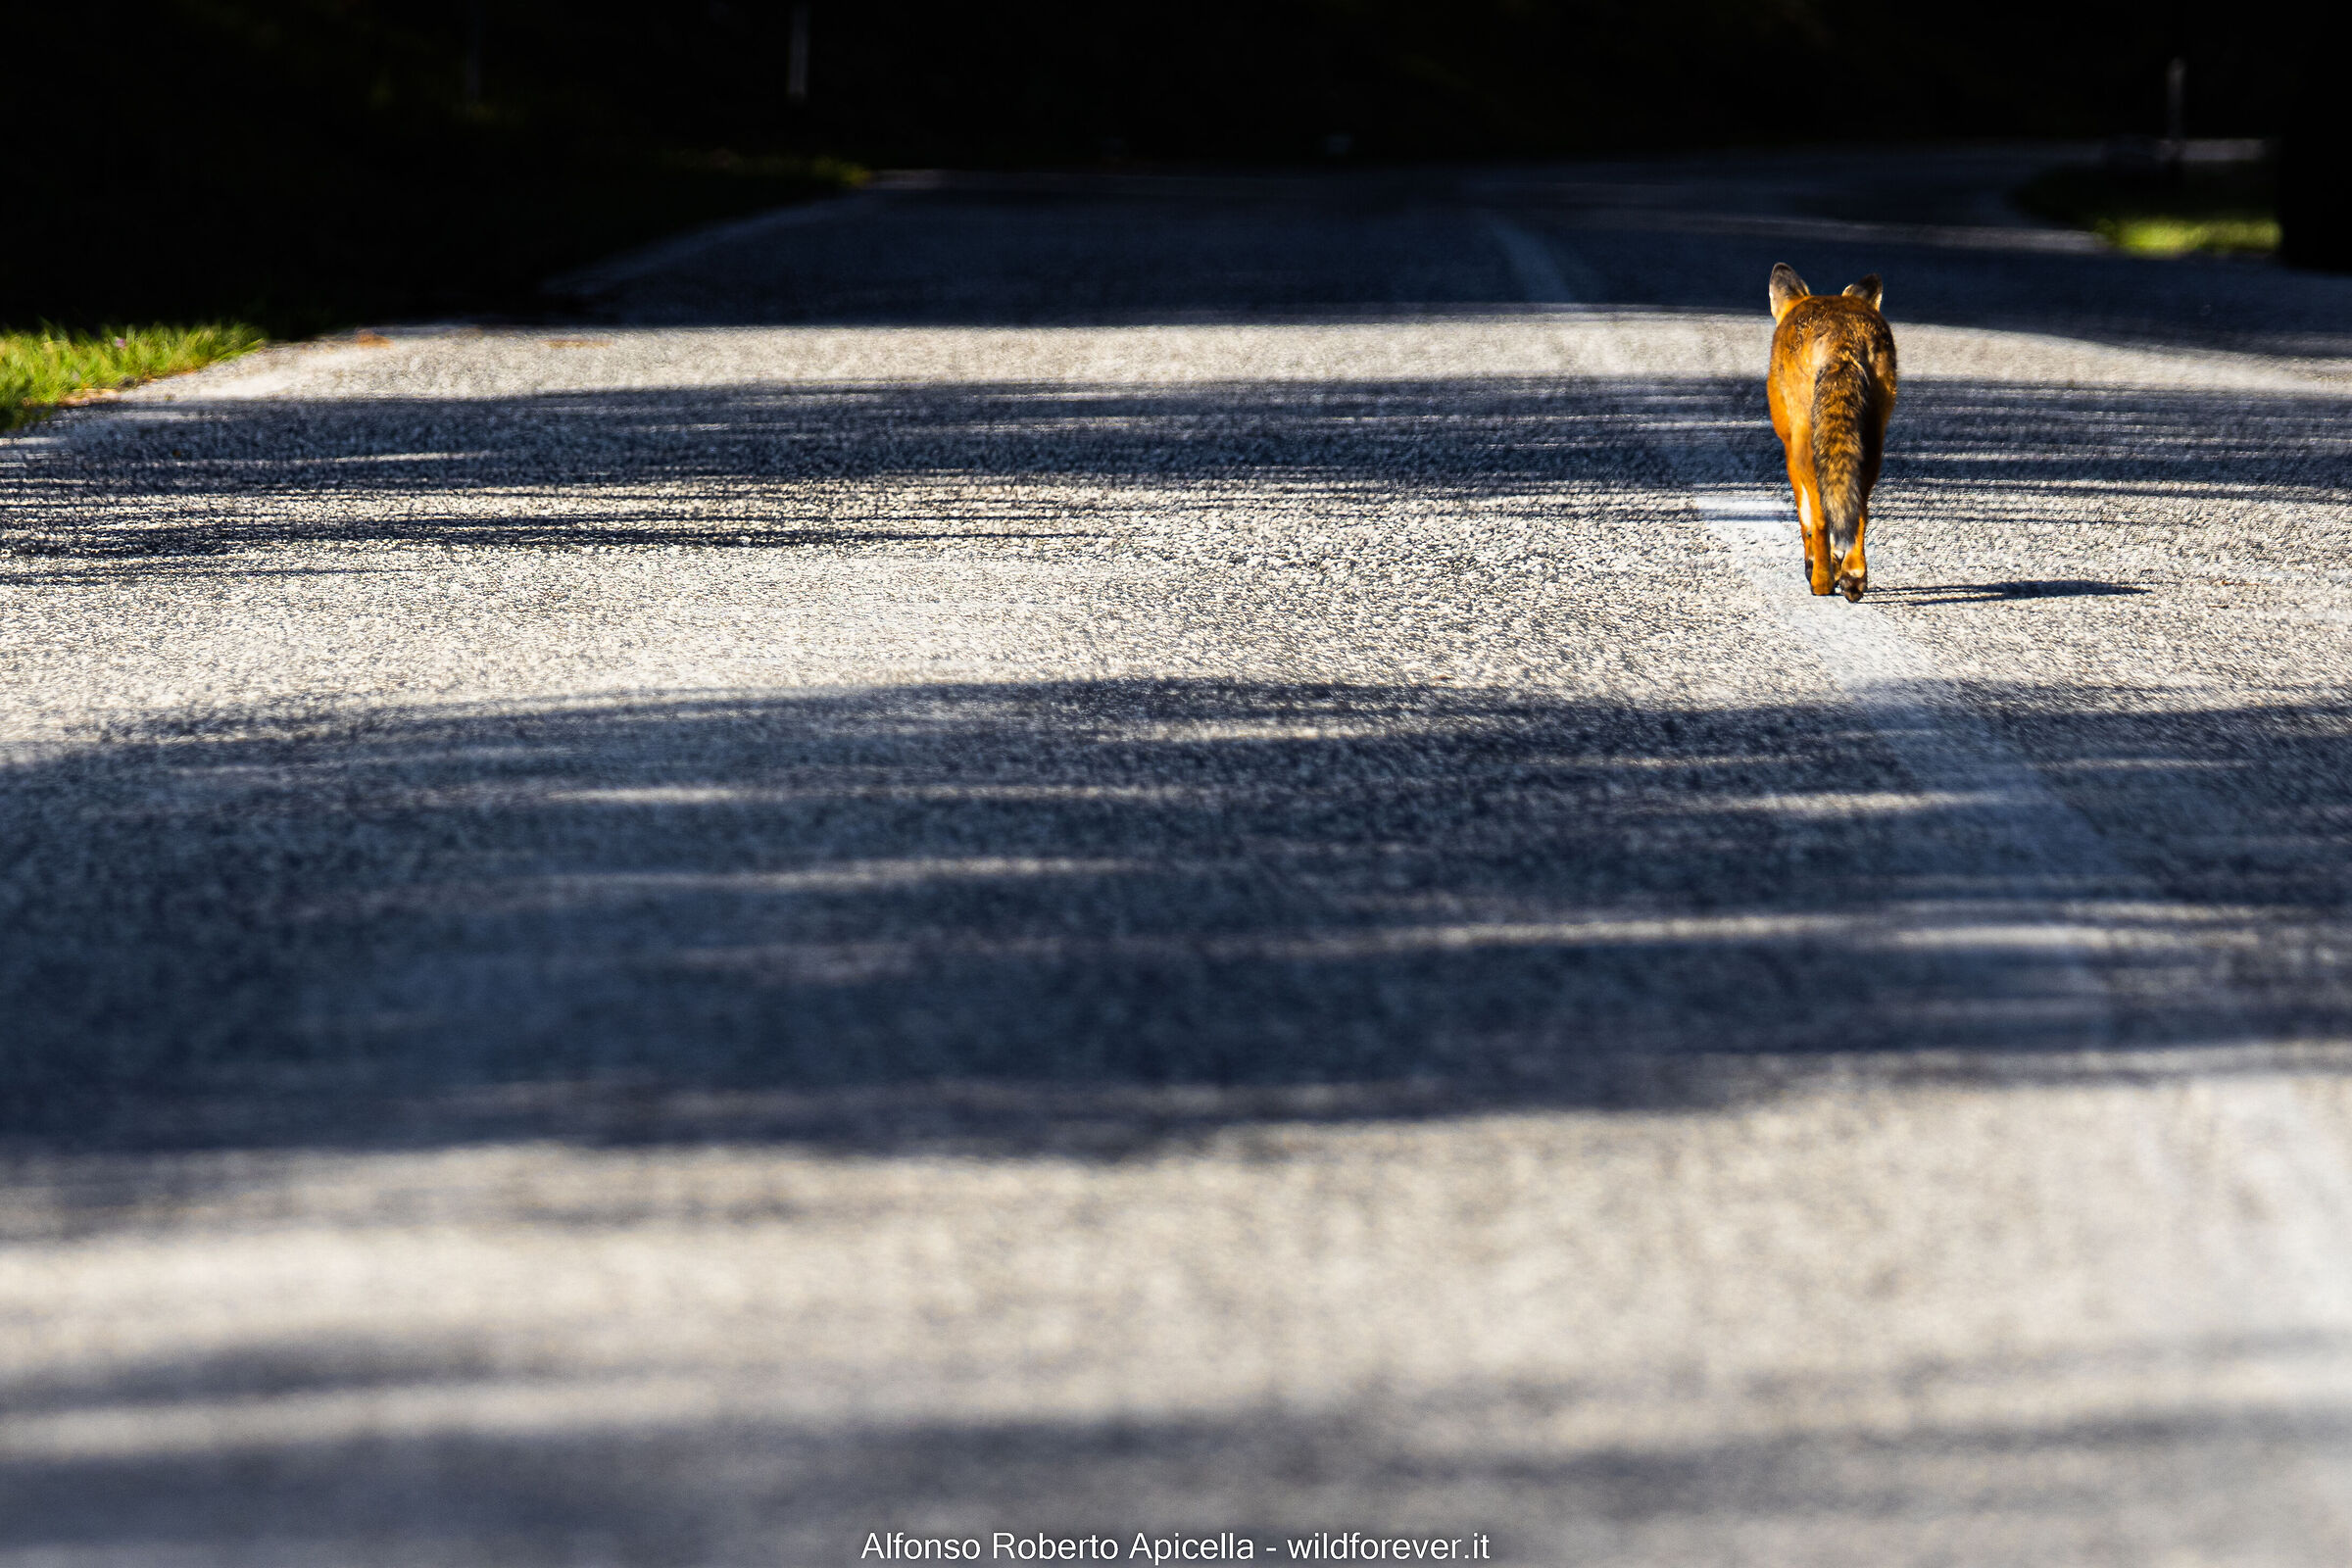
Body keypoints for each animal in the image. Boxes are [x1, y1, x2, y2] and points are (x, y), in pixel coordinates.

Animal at [1766, 263, 1897, 601]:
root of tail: (1842, 335)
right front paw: (1841, 565)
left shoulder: (1789, 447)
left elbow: (1806, 519)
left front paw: (1814, 563)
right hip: (1871, 439)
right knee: (1860, 509)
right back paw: (1854, 576)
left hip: (1806, 442)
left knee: (1823, 515)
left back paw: (1822, 581)